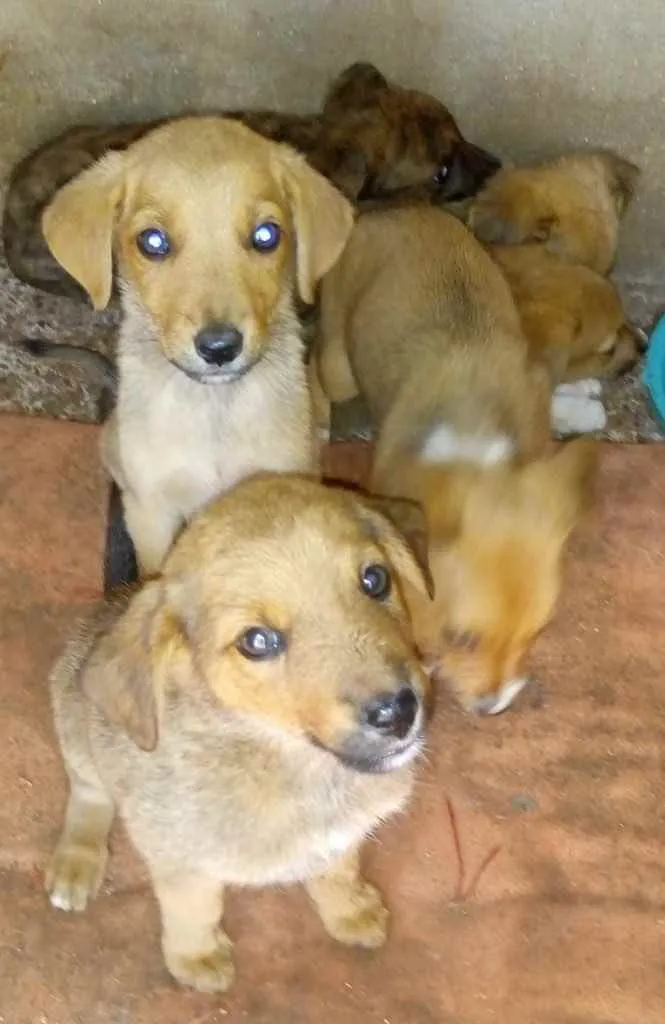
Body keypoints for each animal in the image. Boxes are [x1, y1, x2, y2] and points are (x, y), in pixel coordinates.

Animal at [46, 471, 430, 991]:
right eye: (257, 641)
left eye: (375, 579)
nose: (398, 712)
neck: (300, 770)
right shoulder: (179, 857)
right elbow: (194, 909)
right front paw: (196, 958)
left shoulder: (342, 836)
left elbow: (337, 870)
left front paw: (350, 912)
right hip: (76, 729)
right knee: (89, 793)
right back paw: (77, 861)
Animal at [311, 206, 598, 716]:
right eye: (461, 638)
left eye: (535, 635)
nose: (492, 708)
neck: (477, 444)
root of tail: (389, 211)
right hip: (340, 365)